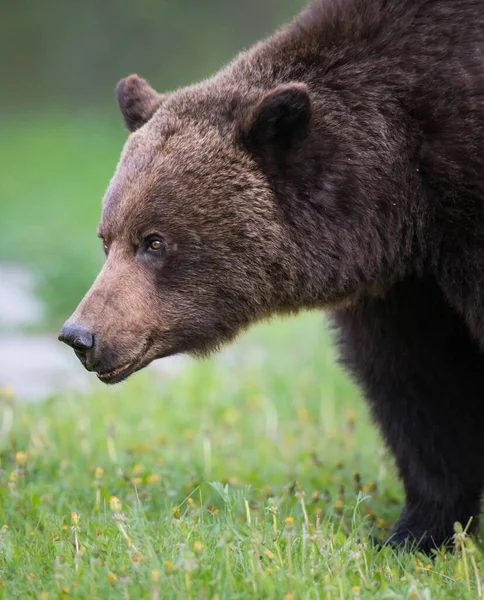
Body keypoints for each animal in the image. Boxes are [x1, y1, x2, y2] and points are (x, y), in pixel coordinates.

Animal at [58, 1, 484, 552]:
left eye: (154, 242)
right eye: (106, 238)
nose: (80, 334)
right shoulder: (405, 289)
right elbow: (420, 382)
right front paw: (418, 531)